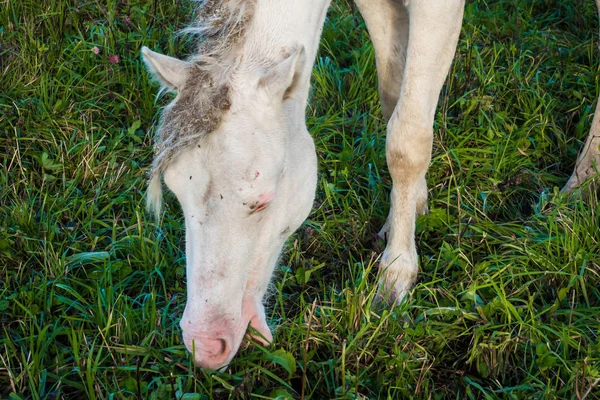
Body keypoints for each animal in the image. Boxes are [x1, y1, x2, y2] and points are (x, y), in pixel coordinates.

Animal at [142, 0, 600, 368]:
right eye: (177, 196)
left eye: (262, 201)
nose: (205, 345)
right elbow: (395, 97)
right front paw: (410, 208)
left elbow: (407, 139)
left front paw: (396, 275)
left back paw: (580, 186)